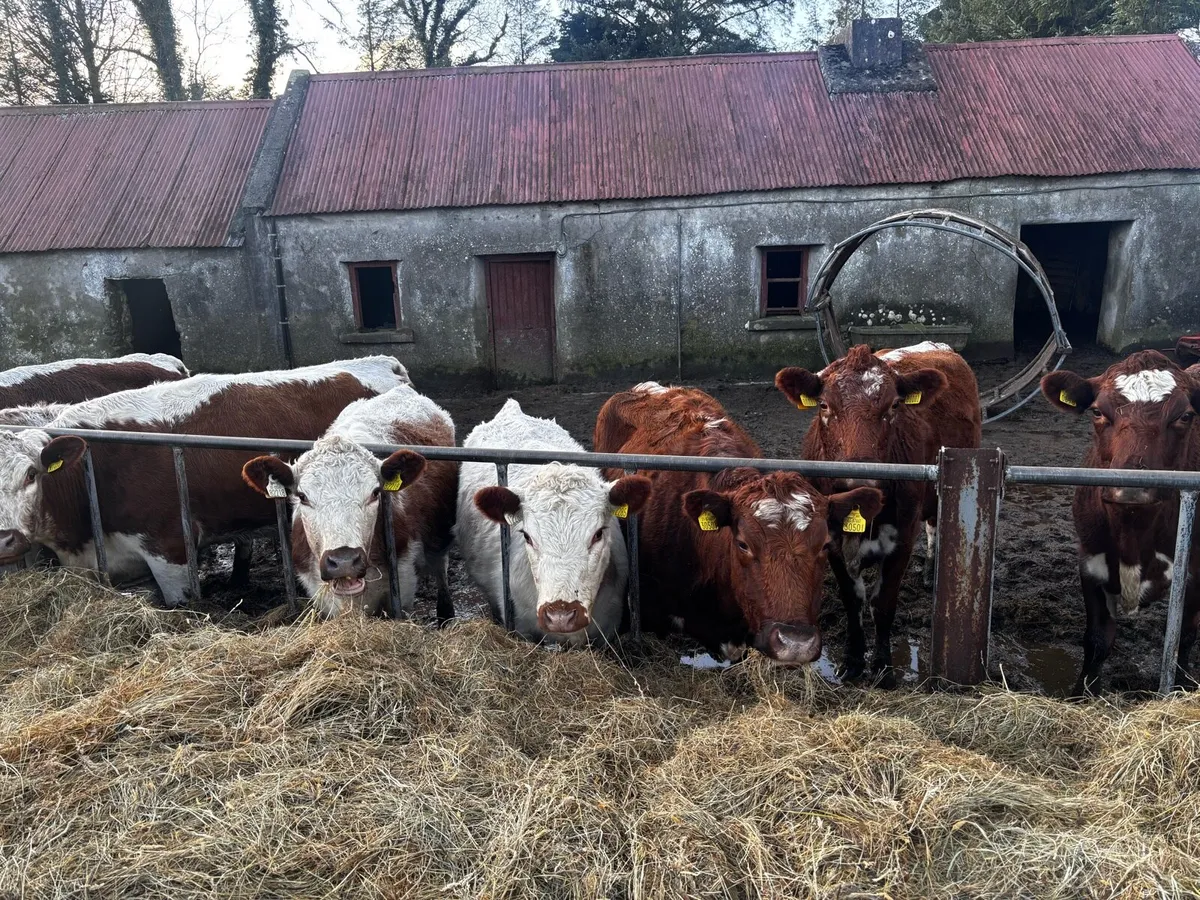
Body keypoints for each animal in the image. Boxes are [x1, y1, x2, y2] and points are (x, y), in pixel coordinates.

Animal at [775, 342, 982, 683]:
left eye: (894, 406)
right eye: (824, 405)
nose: (857, 481)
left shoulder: (903, 538)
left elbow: (883, 603)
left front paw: (883, 667)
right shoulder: (831, 540)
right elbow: (852, 600)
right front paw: (853, 661)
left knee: (934, 524)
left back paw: (930, 571)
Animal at [1042, 350, 1200, 693]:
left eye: (1185, 416)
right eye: (1098, 411)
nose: (1132, 487)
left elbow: (1184, 638)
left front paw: (1181, 684)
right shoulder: (1091, 562)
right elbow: (1097, 640)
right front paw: (1082, 694)